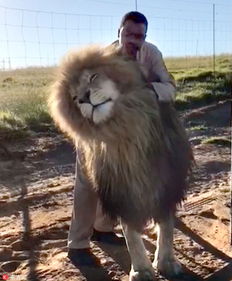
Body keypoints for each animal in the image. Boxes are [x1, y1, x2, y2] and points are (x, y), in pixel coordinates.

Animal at [48, 45, 192, 280]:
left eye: (93, 77)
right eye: (74, 97)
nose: (83, 99)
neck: (125, 128)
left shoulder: (166, 178)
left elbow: (167, 226)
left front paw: (167, 262)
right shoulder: (121, 184)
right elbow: (130, 233)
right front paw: (142, 270)